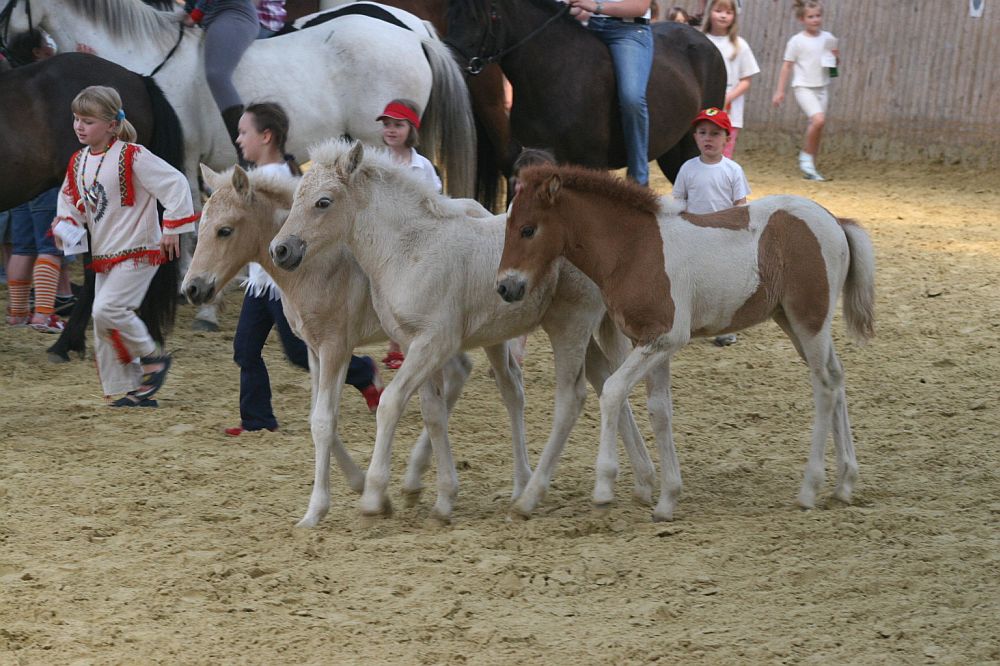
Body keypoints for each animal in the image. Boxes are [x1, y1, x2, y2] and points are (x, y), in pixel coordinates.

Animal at [272, 140, 656, 520]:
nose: (281, 249)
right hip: (583, 330)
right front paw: (442, 499)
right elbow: (433, 412)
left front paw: (374, 497)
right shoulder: (413, 342)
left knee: (572, 399)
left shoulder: (436, 341)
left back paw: (533, 497)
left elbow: (391, 403)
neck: (409, 250)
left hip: (570, 324)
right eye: (295, 197)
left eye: (323, 202)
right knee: (607, 380)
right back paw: (644, 481)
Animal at [450, 0, 724, 191]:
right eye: (451, 13)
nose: (453, 64)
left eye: (484, 16)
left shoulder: (588, 163)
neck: (555, 72)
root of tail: (702, 39)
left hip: (691, 147)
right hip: (672, 152)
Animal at [500, 163, 876, 520]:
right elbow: (659, 410)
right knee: (837, 377)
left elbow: (612, 391)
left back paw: (809, 490)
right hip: (794, 323)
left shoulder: (665, 336)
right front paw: (667, 501)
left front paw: (604, 488)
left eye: (528, 229)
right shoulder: (651, 343)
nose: (506, 287)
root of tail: (835, 220)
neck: (634, 249)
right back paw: (844, 484)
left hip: (809, 321)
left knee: (825, 387)